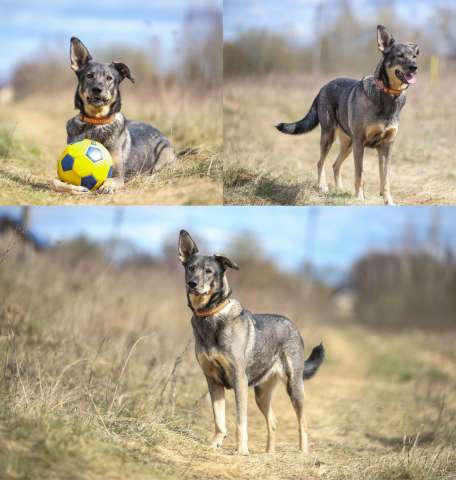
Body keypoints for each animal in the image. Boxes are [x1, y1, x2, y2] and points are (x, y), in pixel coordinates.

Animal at [51, 37, 176, 195]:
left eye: (109, 78)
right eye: (89, 75)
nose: (97, 89)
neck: (96, 121)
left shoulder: (118, 175)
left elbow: (111, 180)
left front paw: (107, 187)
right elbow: (54, 181)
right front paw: (74, 188)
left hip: (164, 155)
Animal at [178, 231, 324, 456]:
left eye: (209, 271)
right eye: (191, 268)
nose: (192, 284)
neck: (210, 315)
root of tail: (292, 325)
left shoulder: (239, 379)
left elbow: (240, 422)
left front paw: (242, 450)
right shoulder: (212, 380)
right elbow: (219, 421)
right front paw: (214, 445)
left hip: (294, 386)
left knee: (303, 422)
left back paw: (303, 453)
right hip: (261, 393)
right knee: (273, 421)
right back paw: (269, 453)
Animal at [276, 24, 418, 204]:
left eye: (414, 56)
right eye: (400, 56)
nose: (415, 67)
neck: (387, 94)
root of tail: (322, 88)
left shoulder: (387, 146)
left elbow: (385, 178)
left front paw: (389, 201)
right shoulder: (360, 142)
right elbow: (360, 174)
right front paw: (360, 199)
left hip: (348, 144)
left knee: (335, 165)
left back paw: (340, 190)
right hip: (330, 136)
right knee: (320, 162)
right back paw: (323, 186)